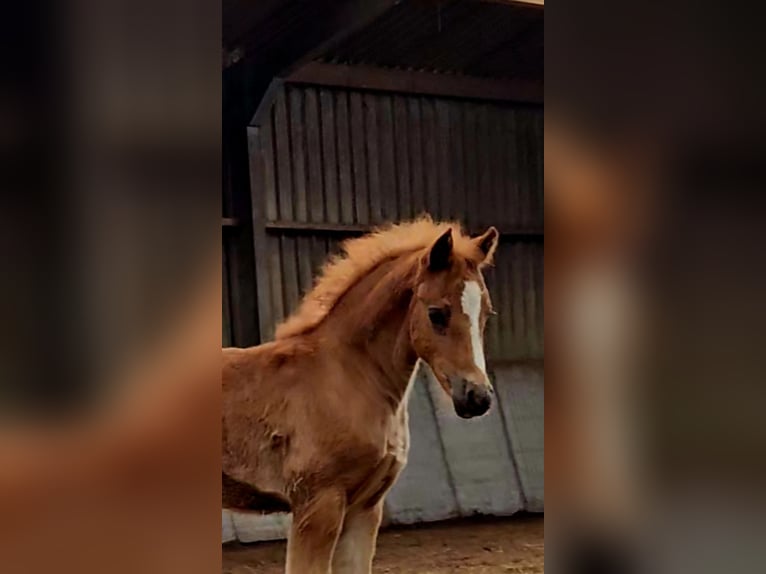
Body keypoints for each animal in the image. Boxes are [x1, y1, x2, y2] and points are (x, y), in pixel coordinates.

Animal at [222, 218, 500, 572]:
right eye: (437, 313)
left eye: (486, 314)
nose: (478, 397)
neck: (347, 377)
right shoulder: (318, 504)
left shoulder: (365, 508)